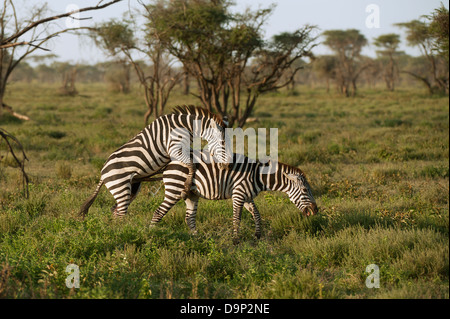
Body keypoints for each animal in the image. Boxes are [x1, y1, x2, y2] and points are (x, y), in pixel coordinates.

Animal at [78, 106, 230, 219]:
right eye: (223, 143)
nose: (227, 166)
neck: (185, 127)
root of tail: (102, 173)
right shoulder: (174, 148)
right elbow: (191, 165)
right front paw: (186, 187)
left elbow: (193, 160)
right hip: (120, 186)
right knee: (120, 212)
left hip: (131, 188)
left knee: (116, 210)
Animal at [149, 151, 318, 241]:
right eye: (305, 190)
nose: (316, 210)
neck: (258, 176)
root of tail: (169, 163)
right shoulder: (238, 194)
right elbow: (237, 217)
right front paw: (236, 240)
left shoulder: (248, 196)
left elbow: (257, 214)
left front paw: (257, 236)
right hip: (175, 189)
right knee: (158, 212)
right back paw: (152, 235)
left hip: (191, 194)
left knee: (189, 218)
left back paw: (197, 238)